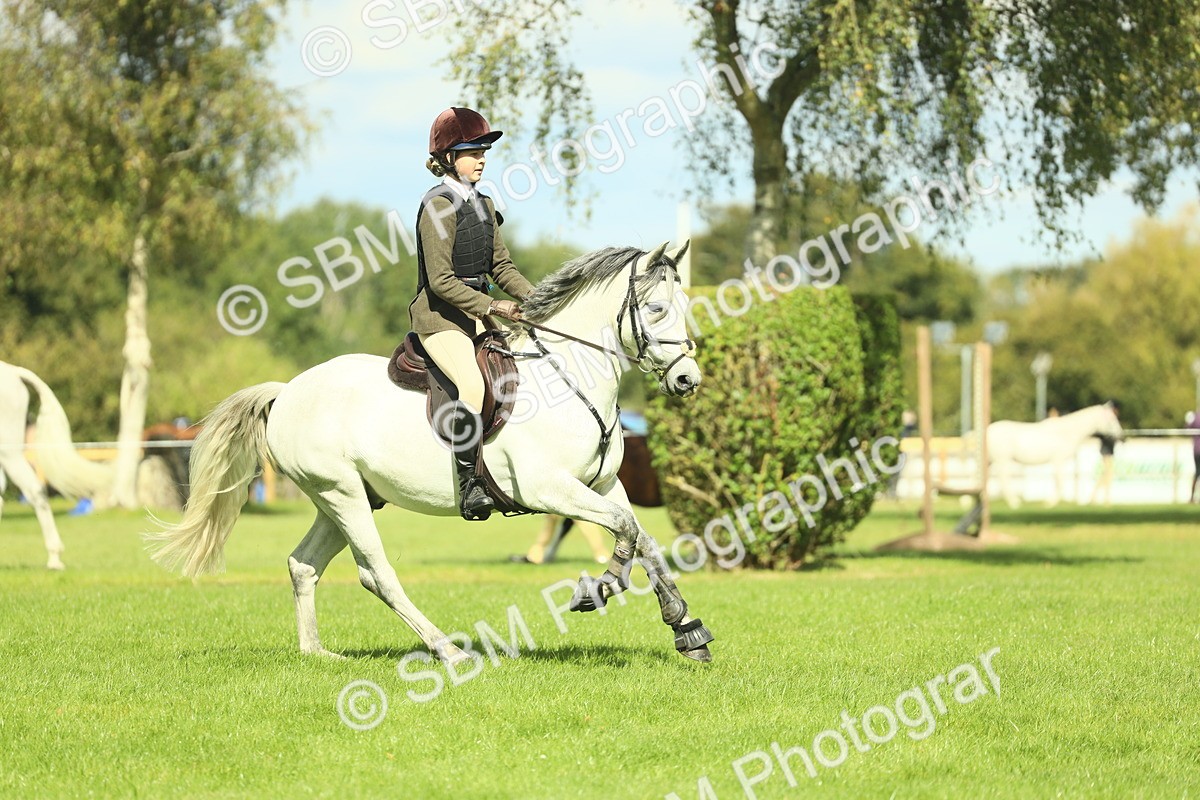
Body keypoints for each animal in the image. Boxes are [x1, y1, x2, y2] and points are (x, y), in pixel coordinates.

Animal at [147, 241, 716, 664]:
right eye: (657, 309)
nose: (688, 380)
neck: (568, 376)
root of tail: (286, 391)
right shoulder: (549, 488)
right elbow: (624, 531)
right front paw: (601, 587)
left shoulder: (602, 484)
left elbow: (641, 537)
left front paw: (685, 626)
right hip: (342, 494)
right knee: (375, 573)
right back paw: (446, 649)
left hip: (341, 499)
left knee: (303, 565)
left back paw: (316, 653)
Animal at [988, 403, 1124, 507]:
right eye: (1112, 419)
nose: (1120, 434)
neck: (1067, 432)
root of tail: (988, 430)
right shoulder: (1058, 459)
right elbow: (1060, 482)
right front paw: (1050, 503)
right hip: (1002, 460)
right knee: (1003, 480)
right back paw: (1014, 502)